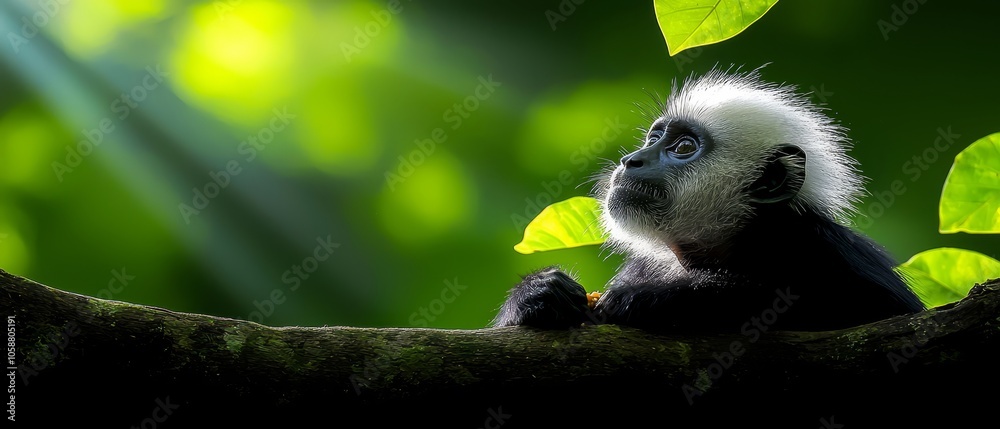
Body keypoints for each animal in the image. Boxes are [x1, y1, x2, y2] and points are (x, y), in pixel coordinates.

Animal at [493, 68, 925, 333]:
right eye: (653, 139)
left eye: (683, 147)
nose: (632, 160)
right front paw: (537, 293)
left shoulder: (825, 247)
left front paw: (666, 299)